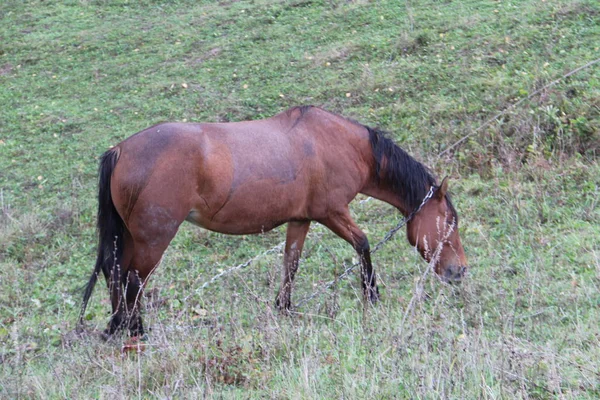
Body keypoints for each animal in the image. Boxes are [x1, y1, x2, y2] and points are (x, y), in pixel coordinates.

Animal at [77, 106, 468, 338]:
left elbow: (290, 263)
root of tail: (120, 150)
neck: (338, 142)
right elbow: (363, 243)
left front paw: (284, 308)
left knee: (117, 275)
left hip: (130, 236)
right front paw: (371, 296)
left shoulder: (301, 218)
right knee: (133, 280)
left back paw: (118, 327)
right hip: (154, 237)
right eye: (449, 220)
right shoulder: (332, 213)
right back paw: (136, 331)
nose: (459, 271)